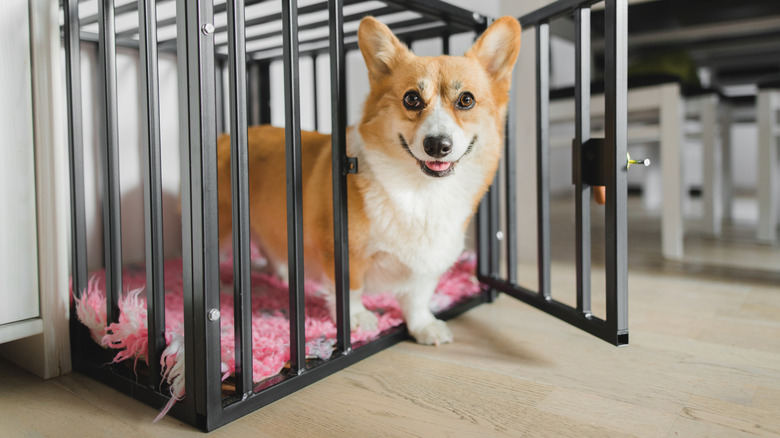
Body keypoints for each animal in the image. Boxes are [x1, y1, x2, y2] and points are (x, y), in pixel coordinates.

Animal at [218, 16, 524, 346]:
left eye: (466, 100)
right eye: (412, 99)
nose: (437, 145)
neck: (421, 190)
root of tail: (224, 137)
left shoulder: (428, 266)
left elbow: (418, 298)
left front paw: (424, 326)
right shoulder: (342, 251)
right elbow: (350, 289)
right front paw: (357, 320)